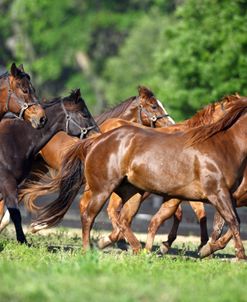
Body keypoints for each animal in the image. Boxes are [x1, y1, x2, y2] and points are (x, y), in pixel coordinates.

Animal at [0, 88, 98, 244]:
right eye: (84, 114)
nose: (98, 134)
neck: (14, 140)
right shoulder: (7, 182)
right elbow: (15, 213)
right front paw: (23, 240)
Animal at [31, 96, 247, 260]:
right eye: (153, 106)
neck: (220, 144)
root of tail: (97, 139)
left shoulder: (212, 195)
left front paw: (204, 248)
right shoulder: (217, 193)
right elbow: (231, 221)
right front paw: (235, 255)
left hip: (131, 192)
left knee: (122, 218)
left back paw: (134, 248)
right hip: (103, 189)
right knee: (89, 215)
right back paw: (90, 248)